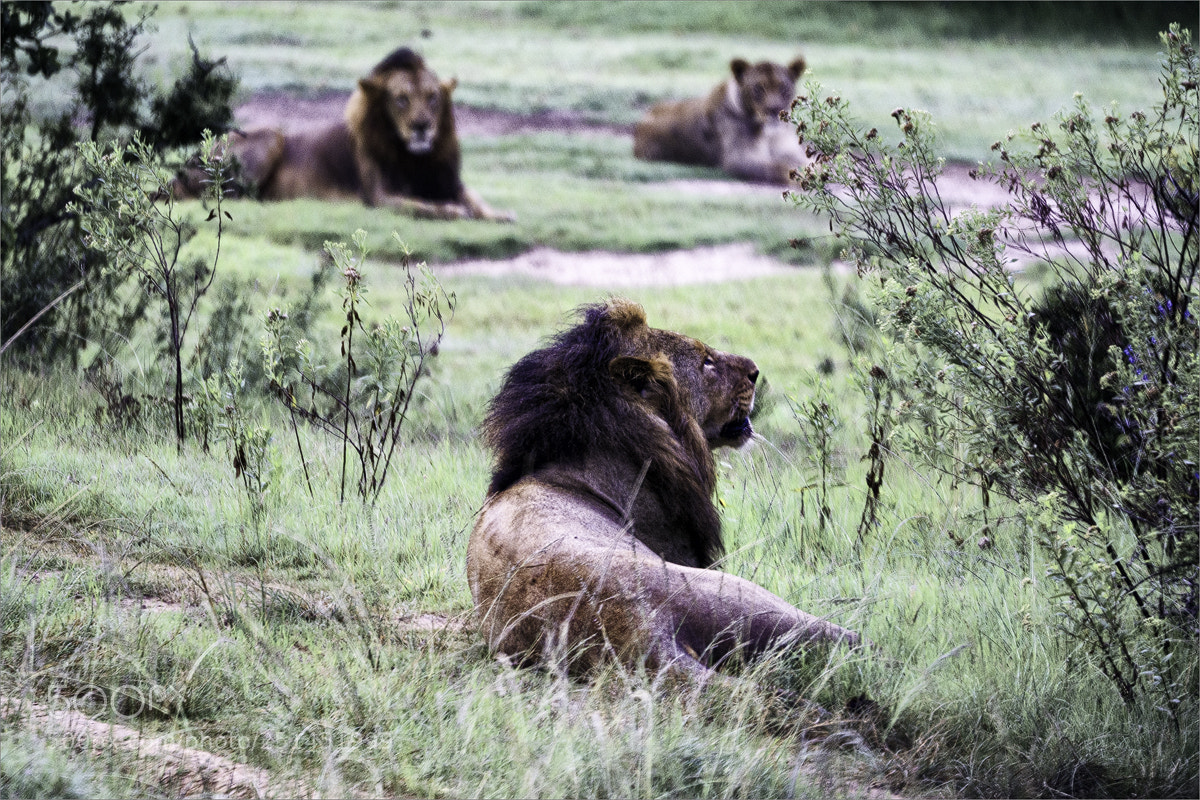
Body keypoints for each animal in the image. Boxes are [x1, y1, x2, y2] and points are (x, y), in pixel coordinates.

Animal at [209, 47, 512, 221]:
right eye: (401, 99)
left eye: (433, 97)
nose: (422, 126)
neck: (416, 159)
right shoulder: (379, 198)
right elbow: (421, 206)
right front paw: (454, 210)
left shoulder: (448, 182)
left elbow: (475, 198)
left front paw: (500, 214)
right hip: (272, 135)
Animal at [633, 56, 808, 185]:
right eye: (758, 88)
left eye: (783, 87)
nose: (774, 110)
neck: (768, 133)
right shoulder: (739, 159)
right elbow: (779, 168)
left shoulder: (789, 151)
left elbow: (805, 162)